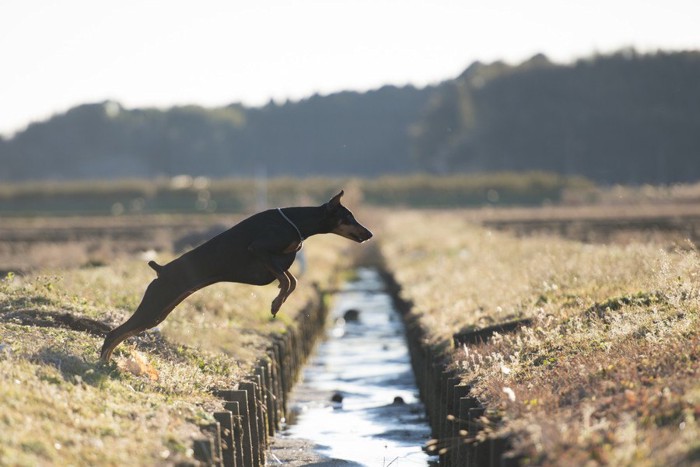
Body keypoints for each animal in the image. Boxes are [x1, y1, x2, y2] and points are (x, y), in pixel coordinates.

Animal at [100, 192, 372, 364]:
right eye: (349, 217)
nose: (369, 234)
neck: (296, 222)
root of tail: (161, 268)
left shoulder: (274, 261)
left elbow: (291, 281)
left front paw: (279, 300)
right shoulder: (259, 250)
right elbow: (286, 281)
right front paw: (275, 304)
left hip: (159, 313)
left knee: (123, 332)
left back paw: (108, 362)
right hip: (155, 303)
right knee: (113, 334)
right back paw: (104, 363)